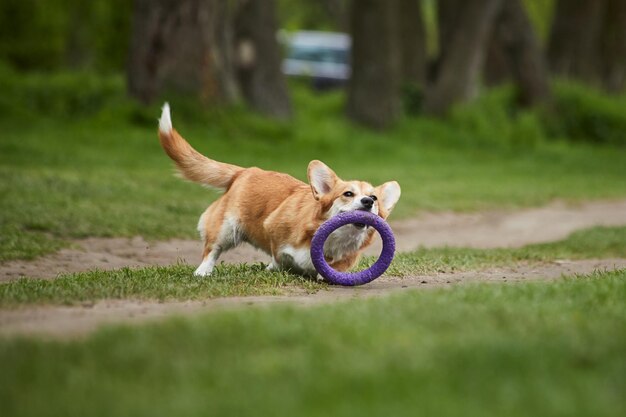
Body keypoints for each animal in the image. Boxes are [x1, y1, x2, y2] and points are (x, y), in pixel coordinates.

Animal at [156, 103, 400, 276]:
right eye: (348, 194)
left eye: (374, 197)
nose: (368, 202)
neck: (336, 238)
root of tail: (244, 171)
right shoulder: (272, 228)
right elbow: (278, 254)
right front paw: (276, 267)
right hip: (226, 227)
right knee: (211, 249)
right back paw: (203, 271)